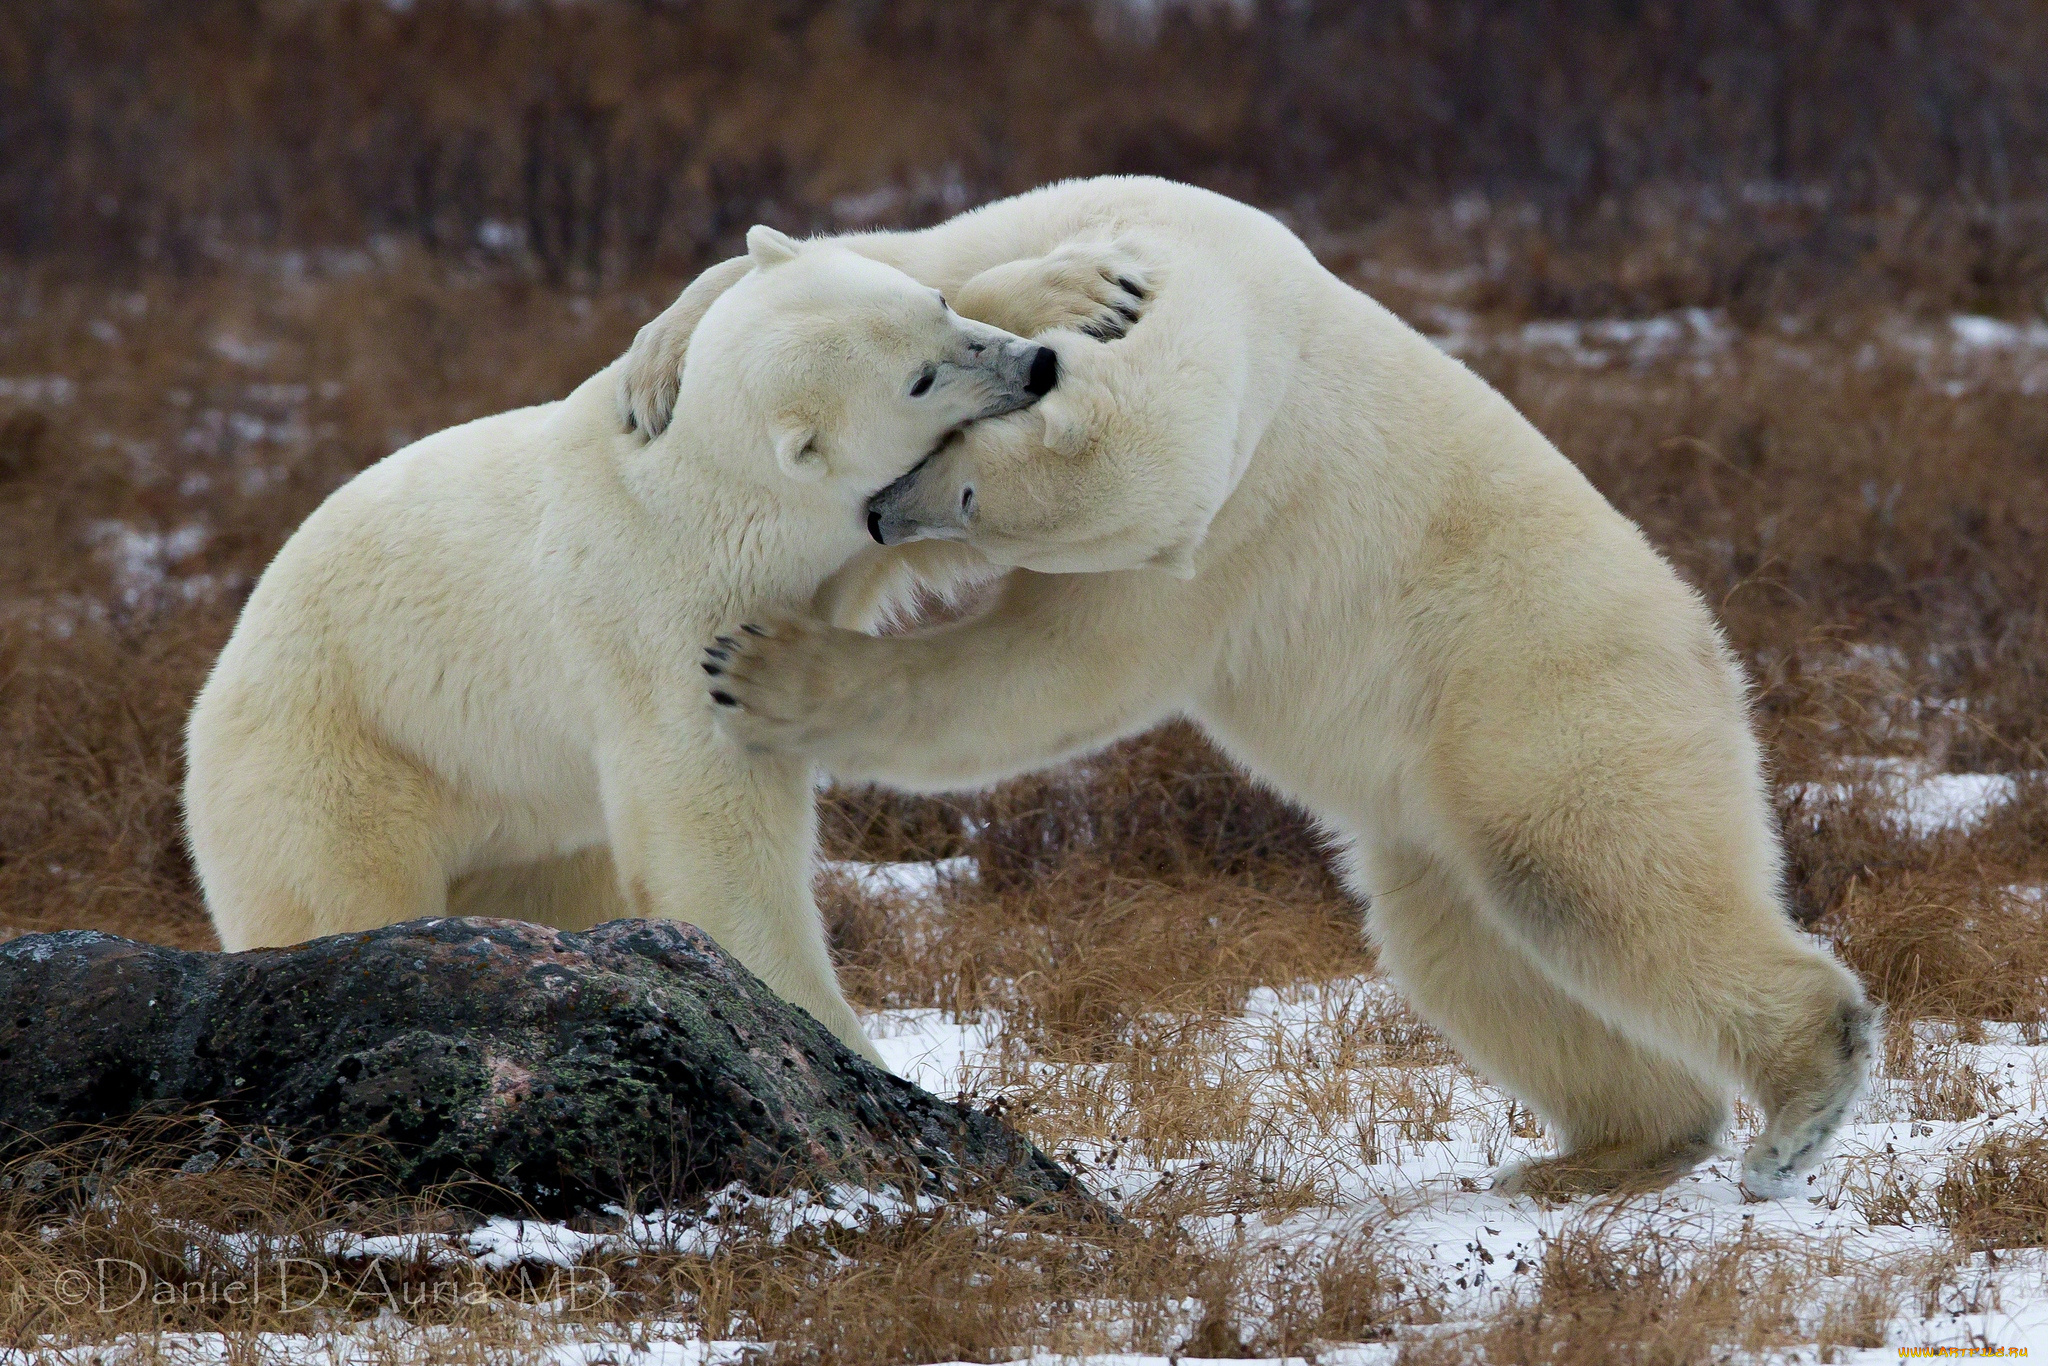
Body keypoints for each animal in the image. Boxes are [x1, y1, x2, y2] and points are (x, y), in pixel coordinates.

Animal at [182, 224, 1130, 1064]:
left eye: (934, 308)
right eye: (920, 382)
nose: (1033, 367)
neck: (711, 490)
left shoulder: (844, 544)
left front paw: (1086, 292)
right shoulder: (672, 621)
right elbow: (711, 826)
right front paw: (836, 1038)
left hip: (533, 829)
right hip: (337, 766)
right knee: (337, 894)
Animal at [618, 174, 1875, 1196]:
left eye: (969, 493)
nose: (885, 518)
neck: (1239, 289)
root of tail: (1715, 650)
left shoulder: (1224, 525)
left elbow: (1055, 669)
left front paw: (763, 669)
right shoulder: (1111, 221)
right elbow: (909, 251)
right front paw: (658, 363)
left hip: (1546, 695)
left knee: (1592, 880)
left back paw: (1795, 1103)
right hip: (1454, 778)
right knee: (1471, 949)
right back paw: (1611, 1148)